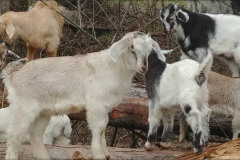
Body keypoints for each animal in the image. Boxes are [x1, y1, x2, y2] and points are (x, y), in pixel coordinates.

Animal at [2, 31, 154, 159]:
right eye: (132, 48)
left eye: (148, 50)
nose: (144, 67)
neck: (114, 67)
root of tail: (13, 76)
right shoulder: (96, 103)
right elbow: (99, 128)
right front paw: (99, 155)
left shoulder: (104, 105)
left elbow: (104, 126)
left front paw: (106, 154)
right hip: (24, 108)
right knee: (14, 135)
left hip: (43, 112)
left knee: (35, 135)